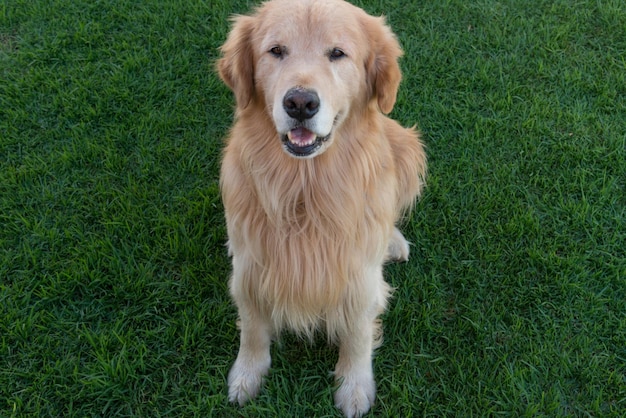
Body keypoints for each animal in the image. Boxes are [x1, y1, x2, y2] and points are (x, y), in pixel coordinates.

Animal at [217, 0, 426, 414]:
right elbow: (252, 327)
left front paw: (354, 386)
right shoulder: (251, 268)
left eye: (337, 53)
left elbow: (358, 334)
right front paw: (247, 374)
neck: (305, 190)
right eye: (276, 50)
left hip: (405, 144)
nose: (300, 102)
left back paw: (393, 242)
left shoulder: (358, 275)